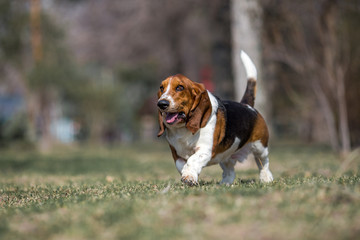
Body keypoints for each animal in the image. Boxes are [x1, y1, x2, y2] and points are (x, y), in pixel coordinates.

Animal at [157, 50, 272, 186]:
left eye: (180, 87)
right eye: (161, 88)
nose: (161, 104)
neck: (183, 128)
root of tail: (247, 106)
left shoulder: (205, 149)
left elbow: (193, 160)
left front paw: (189, 177)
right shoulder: (176, 153)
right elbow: (182, 165)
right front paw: (188, 175)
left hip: (260, 147)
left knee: (263, 163)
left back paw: (266, 178)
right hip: (225, 155)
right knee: (229, 171)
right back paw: (225, 183)